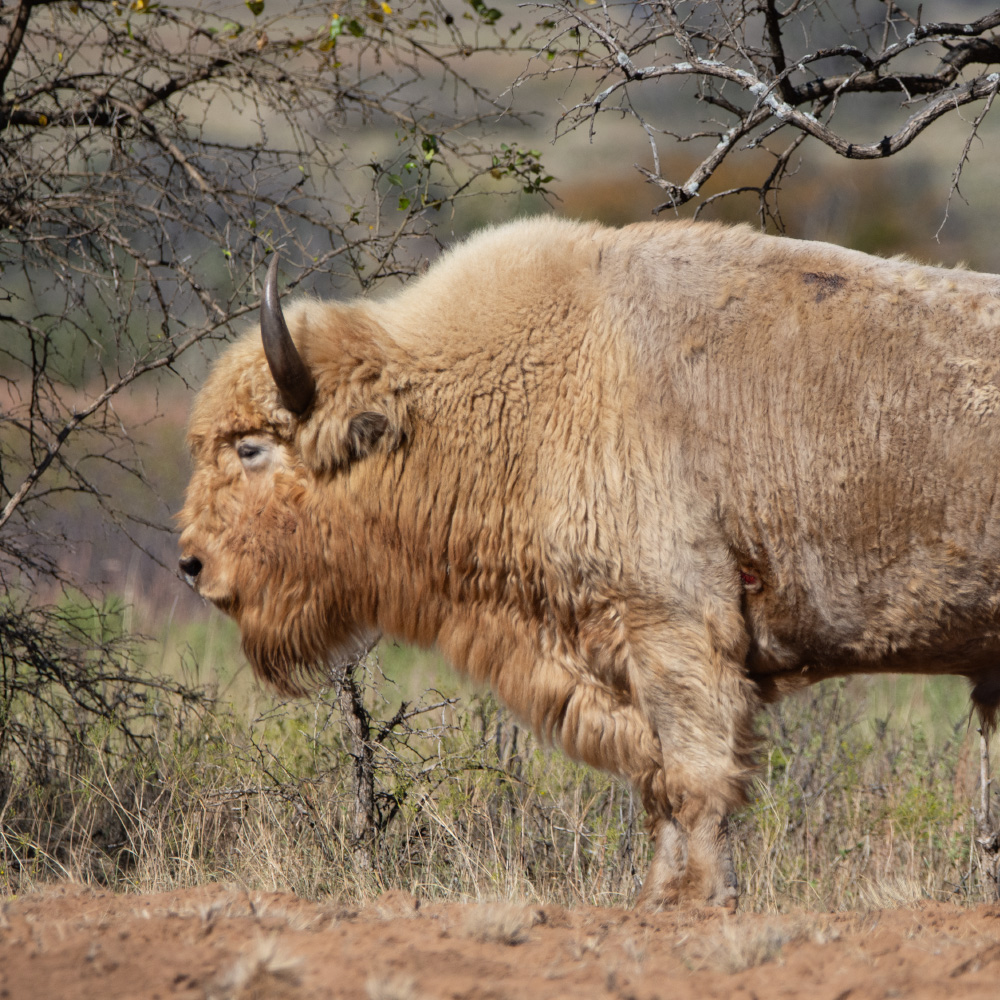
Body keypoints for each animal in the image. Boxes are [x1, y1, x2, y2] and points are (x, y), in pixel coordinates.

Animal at [178, 217, 1000, 908]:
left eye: (251, 448)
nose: (190, 563)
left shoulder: (676, 635)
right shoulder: (621, 661)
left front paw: (708, 899)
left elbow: (697, 780)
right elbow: (657, 784)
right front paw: (655, 898)